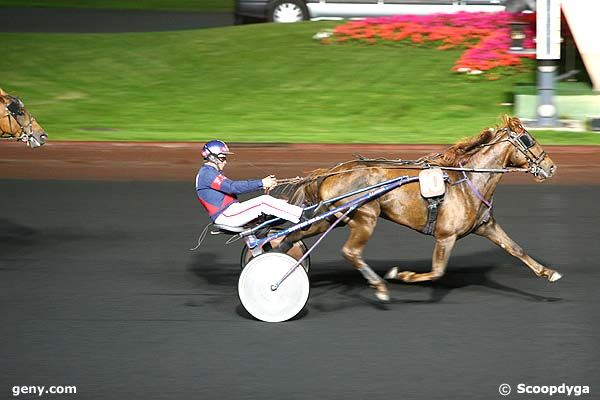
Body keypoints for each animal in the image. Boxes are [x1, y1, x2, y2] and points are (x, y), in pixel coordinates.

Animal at [278, 117, 560, 302]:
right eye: (528, 139)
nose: (551, 166)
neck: (468, 180)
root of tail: (331, 172)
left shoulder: (486, 226)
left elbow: (515, 249)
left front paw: (548, 272)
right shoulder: (446, 236)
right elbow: (436, 272)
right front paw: (401, 275)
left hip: (330, 218)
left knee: (291, 236)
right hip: (365, 217)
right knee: (351, 252)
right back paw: (379, 286)